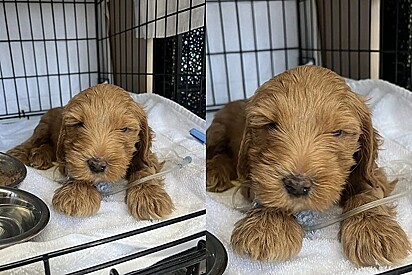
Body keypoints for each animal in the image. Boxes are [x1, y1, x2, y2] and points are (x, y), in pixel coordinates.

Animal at [8, 84, 172, 220]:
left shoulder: (145, 154)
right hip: (43, 126)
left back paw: (40, 156)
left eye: (124, 129)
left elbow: (145, 168)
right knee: (33, 140)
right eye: (79, 124)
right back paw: (19, 153)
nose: (97, 165)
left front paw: (149, 196)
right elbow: (77, 169)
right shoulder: (68, 157)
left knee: (48, 146)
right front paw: (77, 193)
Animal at [208, 65, 410, 268]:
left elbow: (368, 191)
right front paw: (266, 226)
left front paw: (374, 231)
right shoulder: (252, 175)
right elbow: (266, 191)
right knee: (218, 153)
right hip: (217, 131)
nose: (297, 185)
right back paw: (213, 173)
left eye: (338, 132)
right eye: (271, 125)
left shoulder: (370, 171)